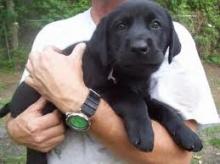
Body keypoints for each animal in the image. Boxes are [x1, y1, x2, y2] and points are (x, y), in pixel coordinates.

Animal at [0, 0, 203, 163]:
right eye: (121, 26)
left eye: (155, 25)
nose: (139, 47)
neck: (130, 75)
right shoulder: (101, 89)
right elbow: (133, 101)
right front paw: (143, 133)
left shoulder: (145, 96)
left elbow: (165, 109)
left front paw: (187, 134)